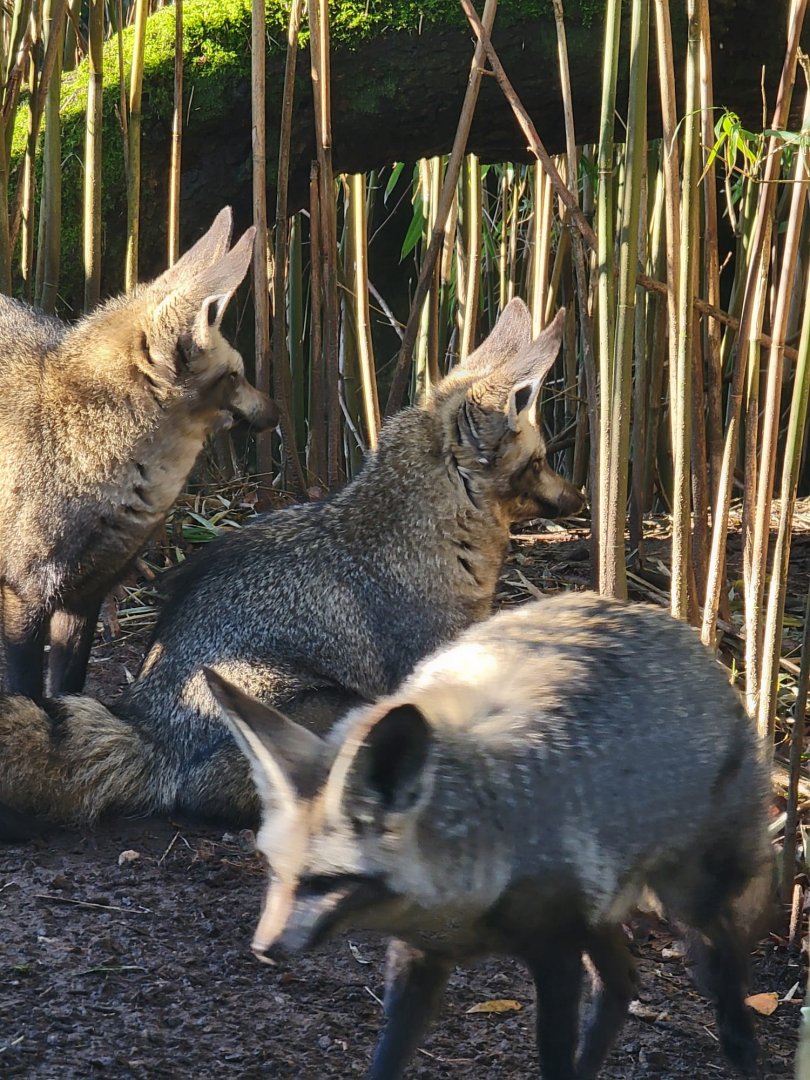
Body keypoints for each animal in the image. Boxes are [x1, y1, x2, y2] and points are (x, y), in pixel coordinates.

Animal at [0, 207, 278, 701]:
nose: (276, 412)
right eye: (236, 376)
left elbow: (68, 689)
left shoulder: (87, 593)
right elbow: (27, 694)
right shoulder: (26, 594)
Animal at [206, 592, 774, 1080]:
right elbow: (387, 1058)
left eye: (324, 881)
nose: (264, 948)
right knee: (622, 985)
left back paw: (741, 1042)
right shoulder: (420, 957)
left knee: (725, 954)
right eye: (275, 871)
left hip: (686, 899)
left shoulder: (556, 953)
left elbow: (553, 1061)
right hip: (602, 915)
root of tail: (656, 613)